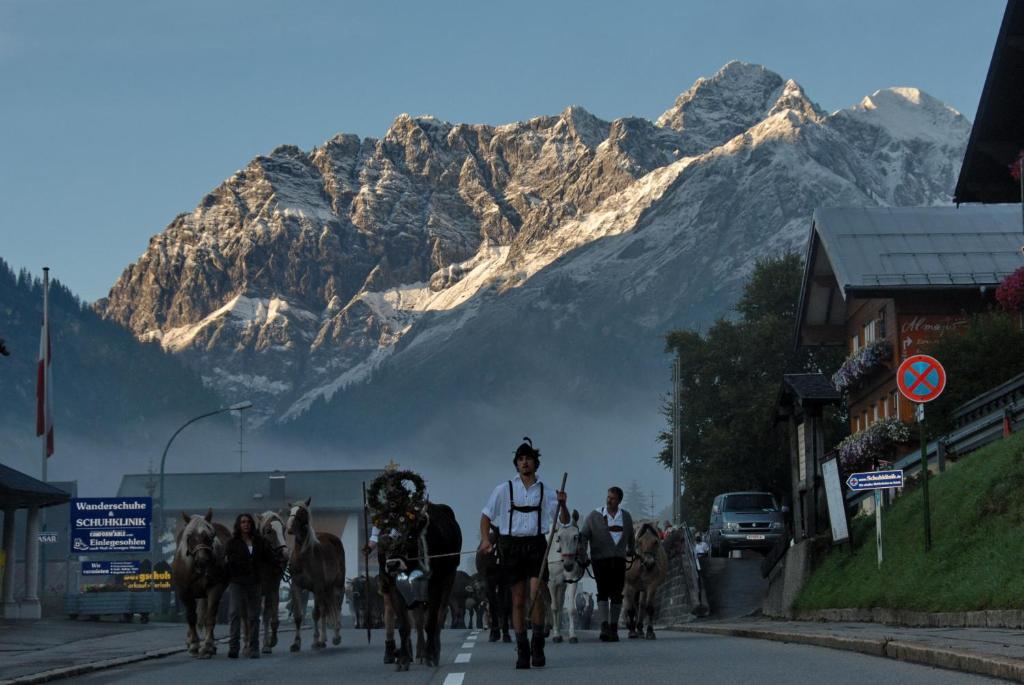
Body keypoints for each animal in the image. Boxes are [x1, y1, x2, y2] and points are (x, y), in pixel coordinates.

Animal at [171, 507, 229, 655]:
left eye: (210, 536)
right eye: (189, 536)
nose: (202, 560)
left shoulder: (215, 588)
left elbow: (210, 616)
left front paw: (208, 646)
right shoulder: (184, 592)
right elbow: (191, 617)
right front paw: (194, 644)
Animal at [286, 493, 346, 651]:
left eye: (302, 512)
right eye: (290, 512)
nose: (289, 528)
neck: (304, 557)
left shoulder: (317, 586)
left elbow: (315, 614)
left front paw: (314, 640)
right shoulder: (296, 586)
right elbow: (299, 615)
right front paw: (296, 643)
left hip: (335, 585)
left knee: (336, 606)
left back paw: (336, 637)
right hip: (324, 590)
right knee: (325, 610)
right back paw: (323, 639)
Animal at [378, 499, 462, 671]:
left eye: (410, 536)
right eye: (385, 537)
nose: (393, 564)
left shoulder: (435, 584)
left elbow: (431, 622)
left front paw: (431, 656)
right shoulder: (393, 587)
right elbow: (405, 626)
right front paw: (403, 659)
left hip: (449, 579)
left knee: (439, 616)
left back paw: (434, 650)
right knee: (418, 620)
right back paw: (420, 652)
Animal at [548, 509, 589, 643]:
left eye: (576, 537)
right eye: (559, 537)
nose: (568, 565)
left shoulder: (572, 580)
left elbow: (570, 609)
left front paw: (572, 635)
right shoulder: (551, 582)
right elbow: (553, 607)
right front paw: (555, 634)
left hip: (562, 585)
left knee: (560, 603)